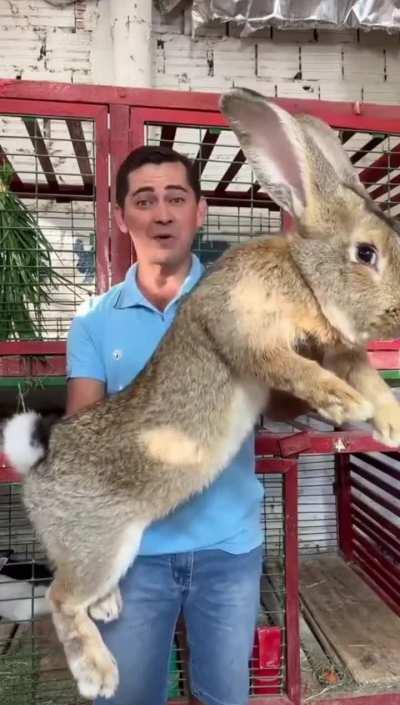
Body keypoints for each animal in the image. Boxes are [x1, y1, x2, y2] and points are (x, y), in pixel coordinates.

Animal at [3, 86, 400, 700]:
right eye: (365, 254)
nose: (399, 309)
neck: (304, 277)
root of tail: (39, 462)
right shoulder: (246, 334)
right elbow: (297, 369)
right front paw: (346, 404)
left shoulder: (339, 350)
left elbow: (372, 382)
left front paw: (391, 423)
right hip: (102, 543)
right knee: (60, 597)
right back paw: (98, 672)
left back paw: (110, 607)